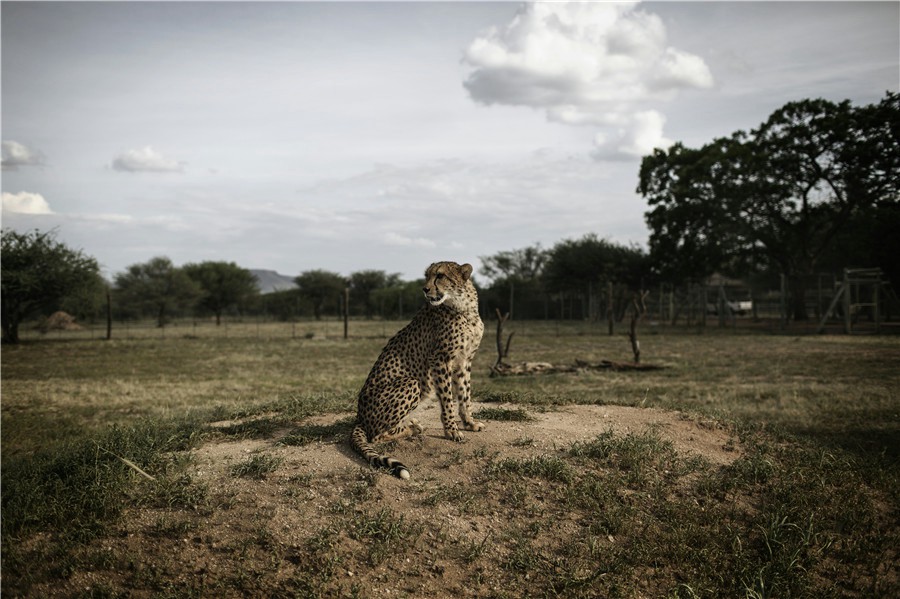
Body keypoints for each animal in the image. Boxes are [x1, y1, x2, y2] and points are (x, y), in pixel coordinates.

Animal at [352, 260, 486, 480]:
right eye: (427, 276)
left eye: (440, 276)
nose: (425, 289)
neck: (463, 308)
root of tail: (359, 418)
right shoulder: (440, 360)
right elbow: (448, 400)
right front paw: (452, 430)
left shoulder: (464, 360)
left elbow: (465, 396)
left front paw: (470, 423)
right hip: (412, 383)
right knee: (376, 436)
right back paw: (412, 429)